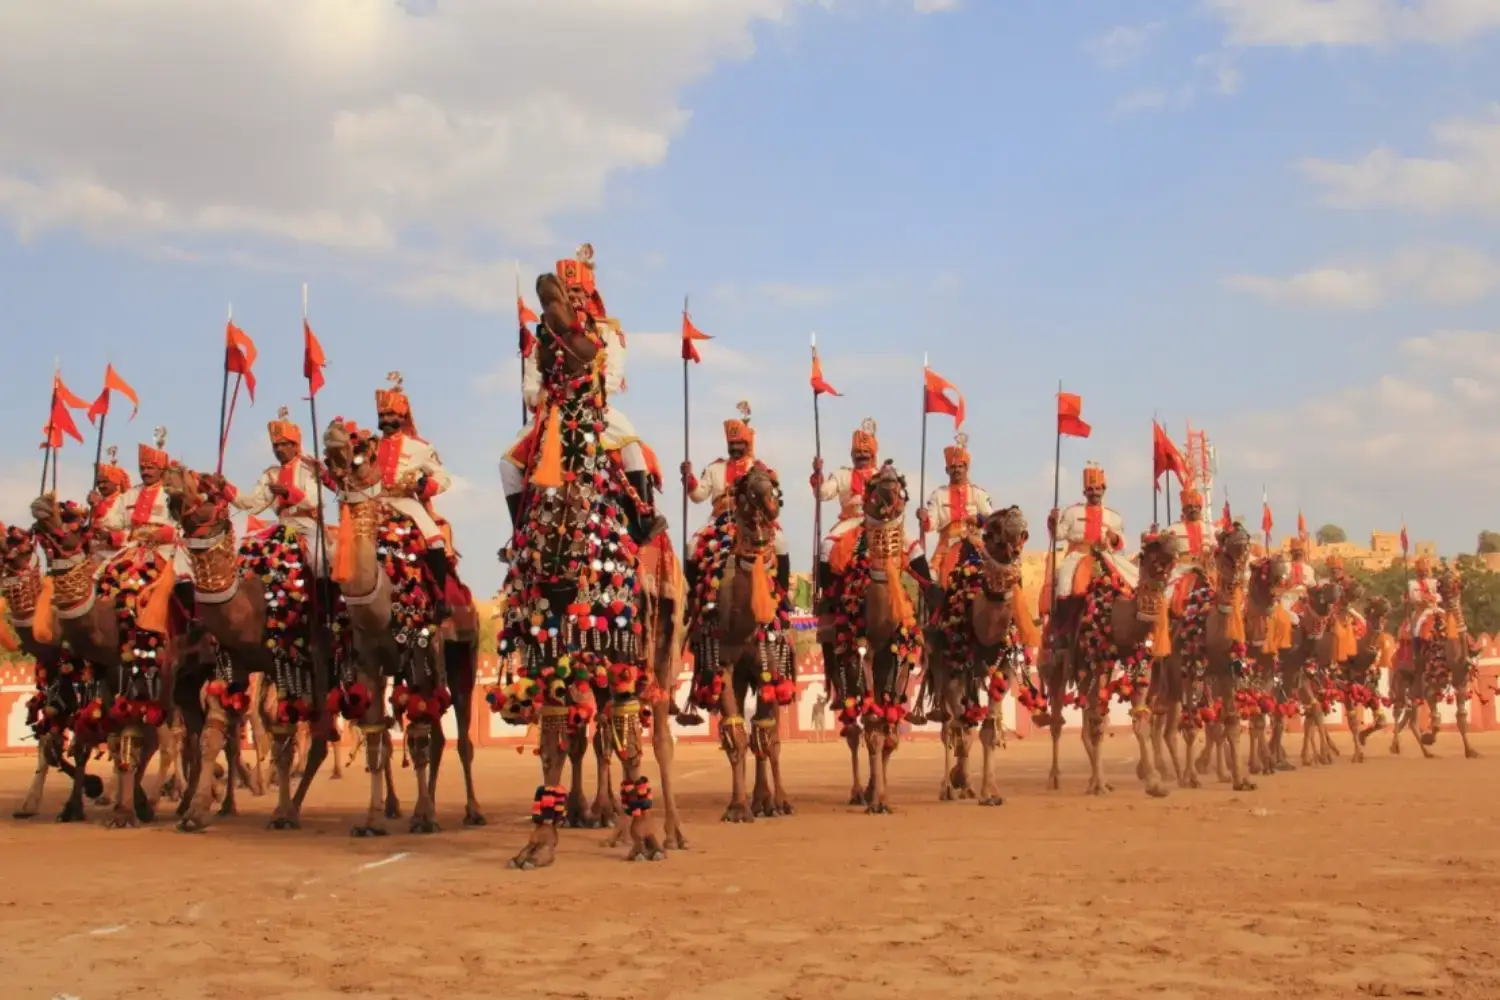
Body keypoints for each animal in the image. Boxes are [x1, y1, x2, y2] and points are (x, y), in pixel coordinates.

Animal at [321, 419, 480, 839]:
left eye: (364, 445)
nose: (335, 430)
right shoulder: (368, 663)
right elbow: (378, 737)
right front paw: (371, 820)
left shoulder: (420, 654)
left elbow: (420, 739)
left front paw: (425, 817)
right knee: (433, 737)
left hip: (462, 657)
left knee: (459, 735)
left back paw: (471, 811)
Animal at [687, 461, 798, 821]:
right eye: (745, 486)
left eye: (772, 484)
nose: (770, 504)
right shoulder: (723, 665)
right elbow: (735, 734)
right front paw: (736, 807)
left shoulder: (770, 667)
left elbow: (766, 734)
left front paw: (781, 801)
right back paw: (756, 801)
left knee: (767, 735)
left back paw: (769, 801)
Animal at [828, 464, 918, 815]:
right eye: (874, 483)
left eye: (899, 482)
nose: (890, 488)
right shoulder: (856, 653)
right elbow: (872, 729)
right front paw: (876, 800)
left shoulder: (899, 659)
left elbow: (890, 733)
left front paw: (884, 796)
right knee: (854, 728)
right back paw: (858, 792)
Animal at [918, 509, 1038, 803]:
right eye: (992, 527)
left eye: (1024, 531)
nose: (1016, 516)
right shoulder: (952, 669)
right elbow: (962, 725)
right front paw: (958, 779)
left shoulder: (1004, 669)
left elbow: (988, 729)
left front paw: (990, 791)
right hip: (941, 669)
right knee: (949, 725)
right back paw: (949, 787)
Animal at [1038, 530, 1176, 797]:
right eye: (1153, 545)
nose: (1173, 544)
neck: (1114, 615)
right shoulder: (1099, 660)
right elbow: (1099, 721)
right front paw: (1100, 784)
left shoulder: (1140, 662)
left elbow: (1140, 721)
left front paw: (1154, 782)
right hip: (1056, 666)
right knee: (1058, 720)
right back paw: (1054, 778)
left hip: (1084, 670)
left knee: (1086, 714)